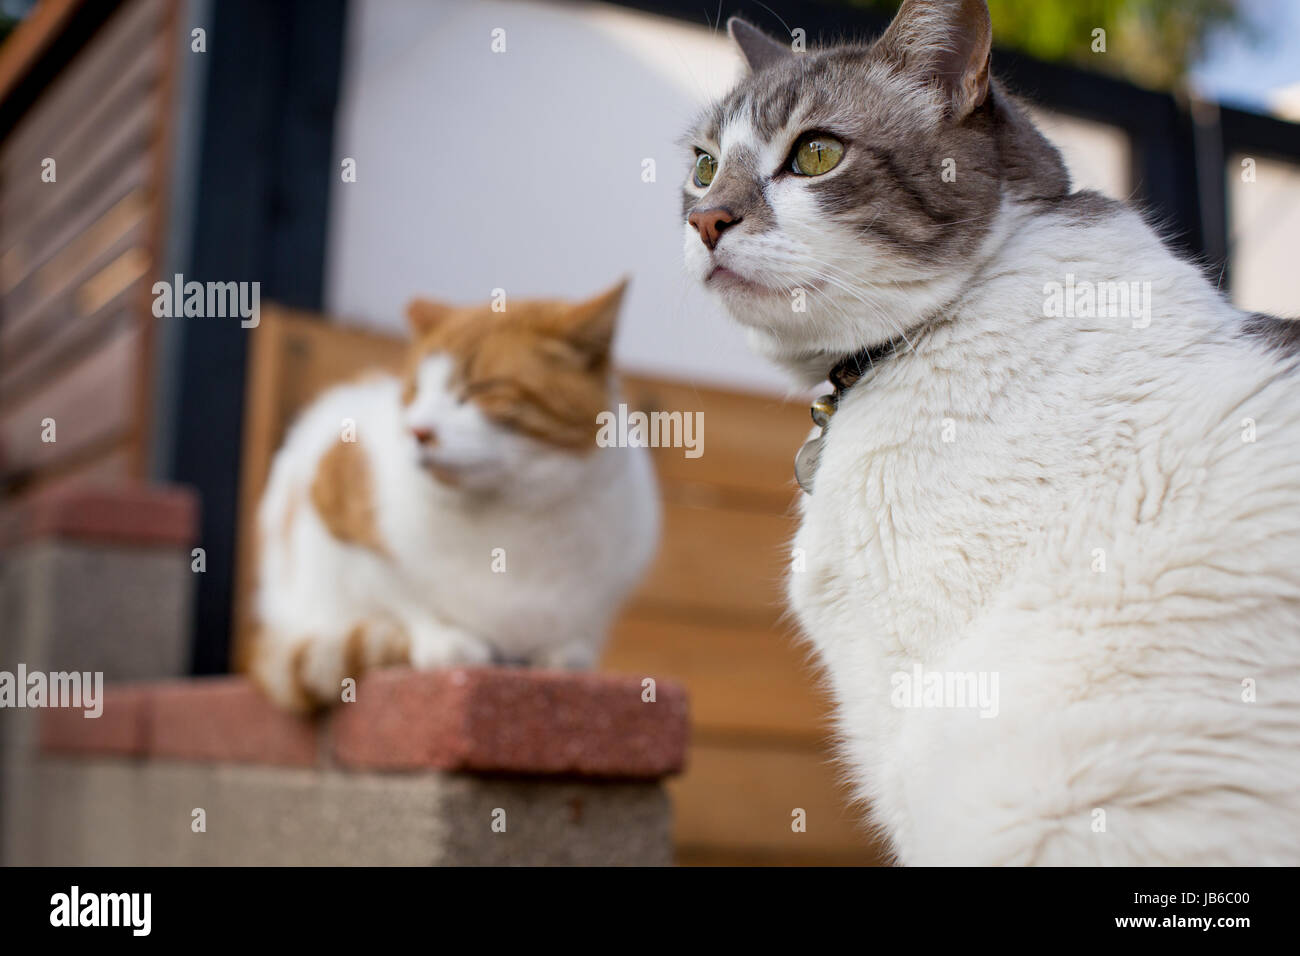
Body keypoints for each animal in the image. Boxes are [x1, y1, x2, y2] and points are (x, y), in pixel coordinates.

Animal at [250, 282, 660, 712]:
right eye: (415, 392)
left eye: (478, 389)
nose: (418, 431)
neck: (514, 512)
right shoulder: (333, 508)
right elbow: (400, 594)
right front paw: (445, 639)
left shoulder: (616, 577)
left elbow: (580, 629)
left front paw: (564, 651)